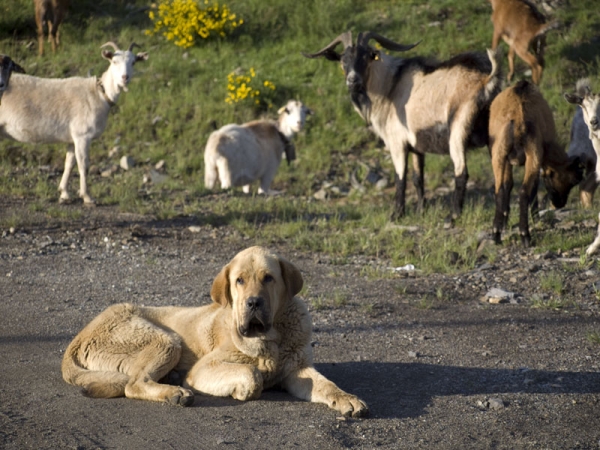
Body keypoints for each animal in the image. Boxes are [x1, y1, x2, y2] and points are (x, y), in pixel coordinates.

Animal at [0, 42, 149, 204]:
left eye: (133, 62)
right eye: (114, 61)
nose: (124, 78)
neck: (99, 94)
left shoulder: (73, 138)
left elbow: (69, 164)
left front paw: (64, 193)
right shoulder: (83, 135)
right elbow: (83, 165)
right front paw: (87, 197)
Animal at [62, 246, 370, 418]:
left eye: (268, 278)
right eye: (239, 281)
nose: (253, 303)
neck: (270, 338)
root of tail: (77, 339)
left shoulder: (298, 370)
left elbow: (328, 385)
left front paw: (348, 399)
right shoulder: (203, 369)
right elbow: (251, 373)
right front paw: (244, 388)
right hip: (166, 340)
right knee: (133, 384)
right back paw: (175, 392)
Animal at [304, 30, 502, 219]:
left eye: (366, 56)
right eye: (343, 59)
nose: (353, 80)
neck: (390, 86)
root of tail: (486, 80)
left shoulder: (397, 143)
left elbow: (400, 178)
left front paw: (396, 215)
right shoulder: (417, 146)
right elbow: (417, 177)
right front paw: (421, 211)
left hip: (458, 131)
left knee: (461, 173)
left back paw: (453, 216)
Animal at [490, 81, 584, 250]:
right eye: (575, 179)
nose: (559, 204)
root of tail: (518, 120)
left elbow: (507, 186)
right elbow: (533, 187)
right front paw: (535, 218)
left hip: (499, 153)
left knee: (500, 190)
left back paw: (496, 235)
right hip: (532, 152)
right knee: (523, 191)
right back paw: (525, 235)